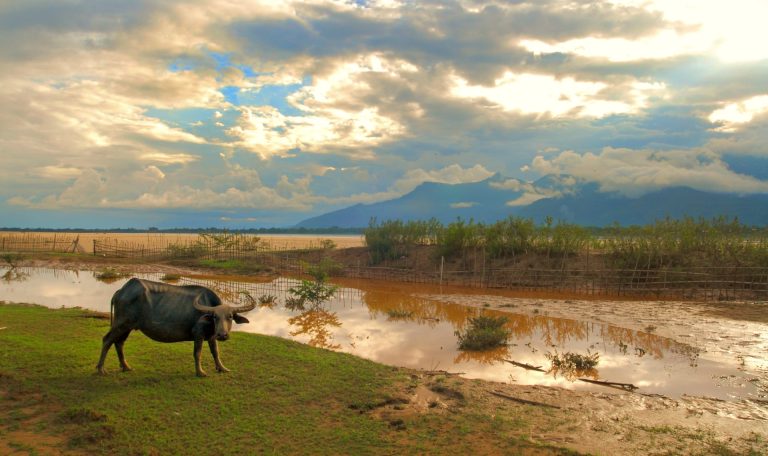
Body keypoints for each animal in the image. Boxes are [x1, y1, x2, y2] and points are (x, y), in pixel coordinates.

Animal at [97, 278, 255, 377]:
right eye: (215, 317)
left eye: (230, 316)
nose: (222, 335)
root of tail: (121, 291)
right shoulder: (198, 334)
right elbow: (197, 353)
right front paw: (200, 372)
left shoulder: (211, 336)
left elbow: (215, 352)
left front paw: (222, 368)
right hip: (121, 324)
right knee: (107, 340)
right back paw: (101, 369)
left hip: (127, 327)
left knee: (119, 343)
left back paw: (126, 367)